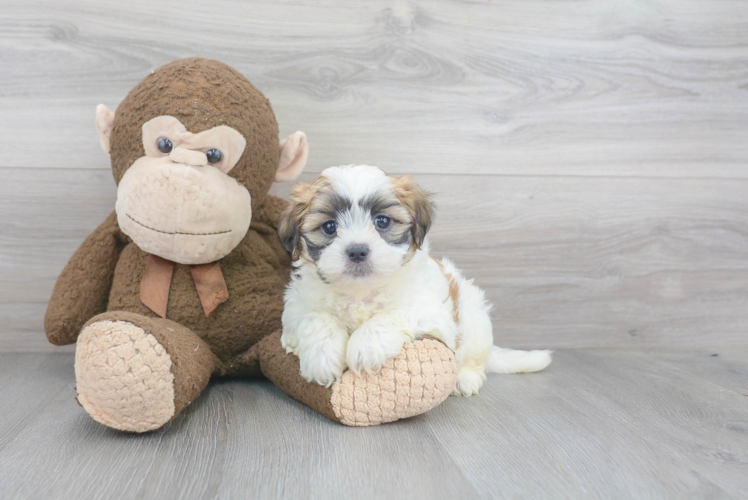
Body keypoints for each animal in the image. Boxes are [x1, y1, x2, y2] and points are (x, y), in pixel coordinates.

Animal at [278, 166, 552, 396]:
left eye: (382, 221)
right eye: (329, 227)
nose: (357, 251)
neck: (360, 291)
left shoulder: (430, 310)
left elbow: (394, 313)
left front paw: (365, 345)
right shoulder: (296, 307)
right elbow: (318, 317)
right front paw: (322, 357)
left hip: (475, 322)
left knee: (474, 357)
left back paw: (466, 379)